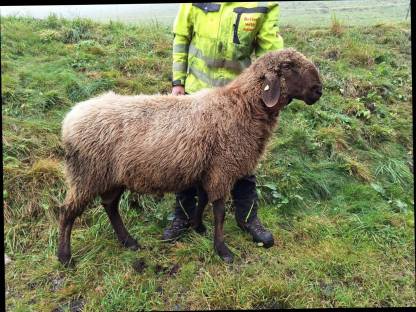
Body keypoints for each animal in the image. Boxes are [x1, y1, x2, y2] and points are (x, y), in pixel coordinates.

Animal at [57, 47, 322, 264]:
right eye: (289, 66)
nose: (319, 90)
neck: (241, 105)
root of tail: (70, 118)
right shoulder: (222, 168)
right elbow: (219, 211)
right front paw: (222, 250)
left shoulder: (208, 168)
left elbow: (203, 200)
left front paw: (198, 227)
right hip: (86, 174)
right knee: (68, 212)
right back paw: (65, 257)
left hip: (111, 175)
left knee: (110, 206)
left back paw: (128, 242)